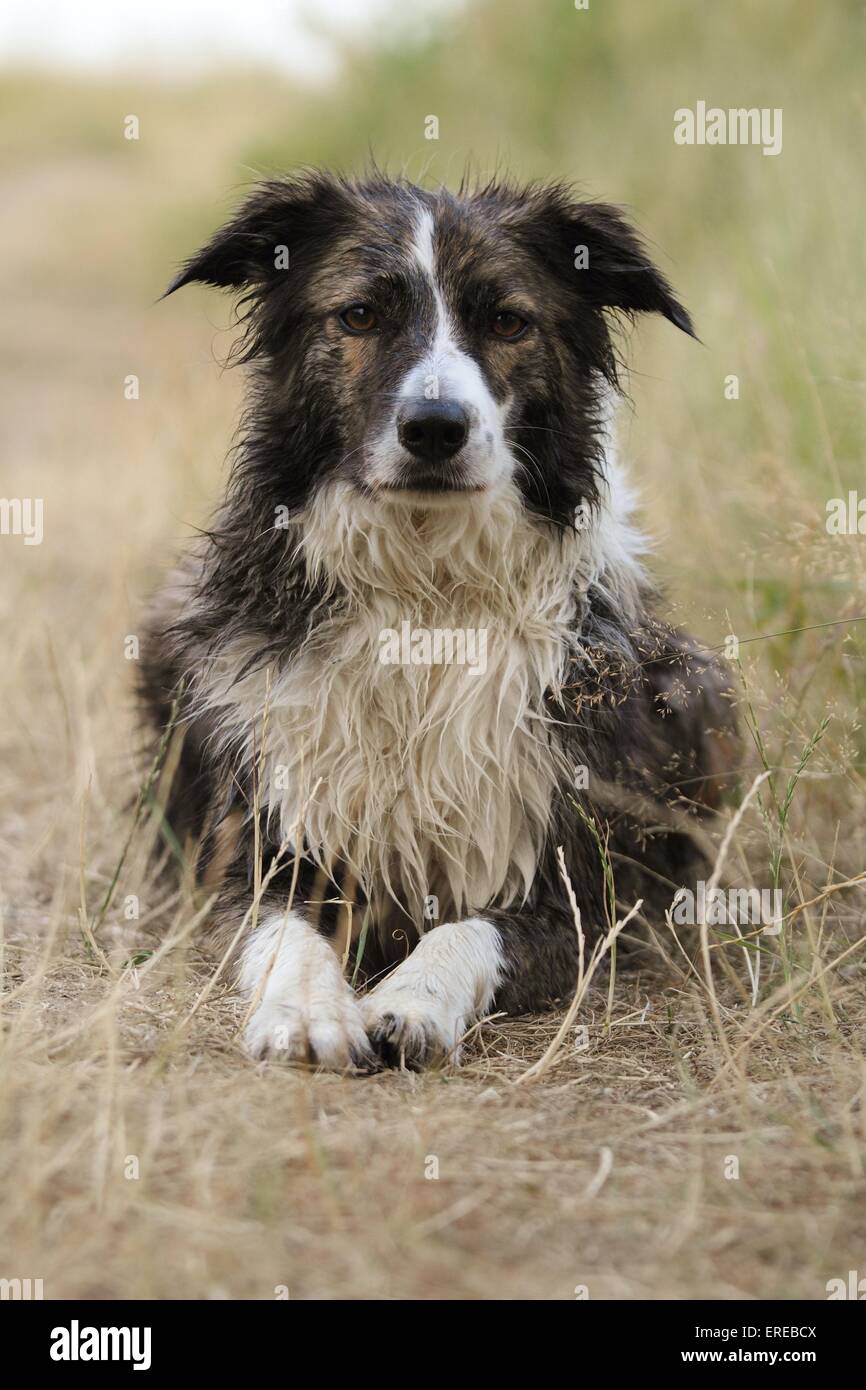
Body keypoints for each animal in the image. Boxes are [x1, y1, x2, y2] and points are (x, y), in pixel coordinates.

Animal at [142, 170, 739, 1061]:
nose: (434, 428)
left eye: (508, 321)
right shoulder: (253, 859)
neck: (427, 595)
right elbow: (285, 933)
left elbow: (470, 930)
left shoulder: (583, 896)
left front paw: (412, 1001)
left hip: (699, 689)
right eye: (359, 315)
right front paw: (308, 1011)